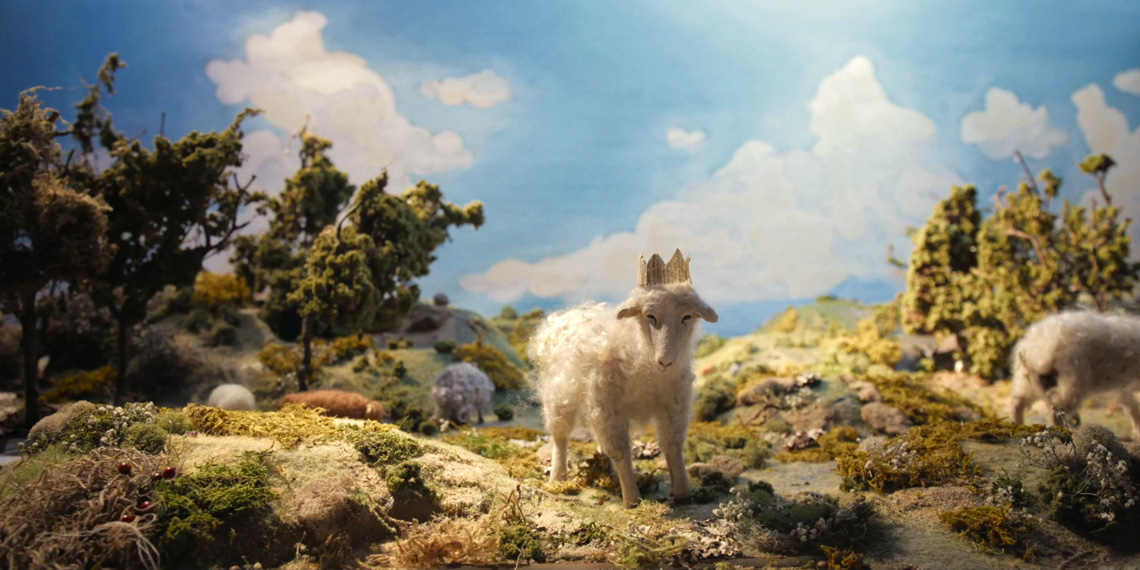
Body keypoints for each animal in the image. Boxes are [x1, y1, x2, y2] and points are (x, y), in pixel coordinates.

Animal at [530, 250, 718, 507]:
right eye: (650, 316)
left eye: (687, 316)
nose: (666, 361)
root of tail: (568, 314)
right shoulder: (608, 407)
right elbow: (620, 450)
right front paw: (632, 499)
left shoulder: (674, 404)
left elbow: (673, 445)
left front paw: (683, 493)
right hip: (559, 393)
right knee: (560, 435)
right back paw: (558, 478)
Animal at [1010, 310, 1140, 439]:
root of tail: (1037, 350)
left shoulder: (1124, 387)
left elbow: (1132, 406)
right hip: (1071, 378)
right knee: (1056, 409)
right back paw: (1060, 433)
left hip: (1027, 379)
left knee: (1017, 402)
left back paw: (1017, 427)